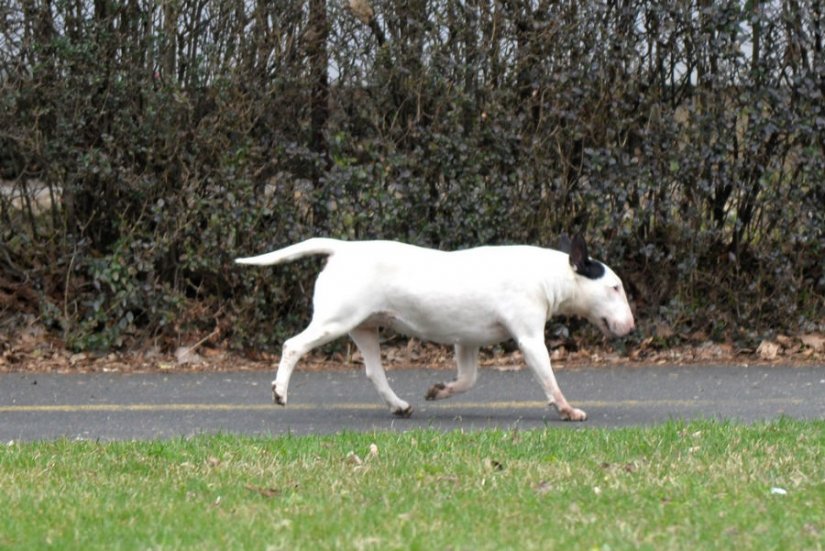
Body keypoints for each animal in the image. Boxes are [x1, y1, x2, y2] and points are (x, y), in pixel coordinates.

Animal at [235, 234, 636, 422]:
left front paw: (439, 390)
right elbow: (550, 380)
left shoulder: (467, 342)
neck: (549, 274)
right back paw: (280, 391)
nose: (631, 327)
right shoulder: (528, 337)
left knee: (374, 372)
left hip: (363, 328)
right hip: (334, 321)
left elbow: (468, 379)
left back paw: (399, 406)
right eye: (615, 287)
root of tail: (342, 249)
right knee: (292, 345)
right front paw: (568, 410)